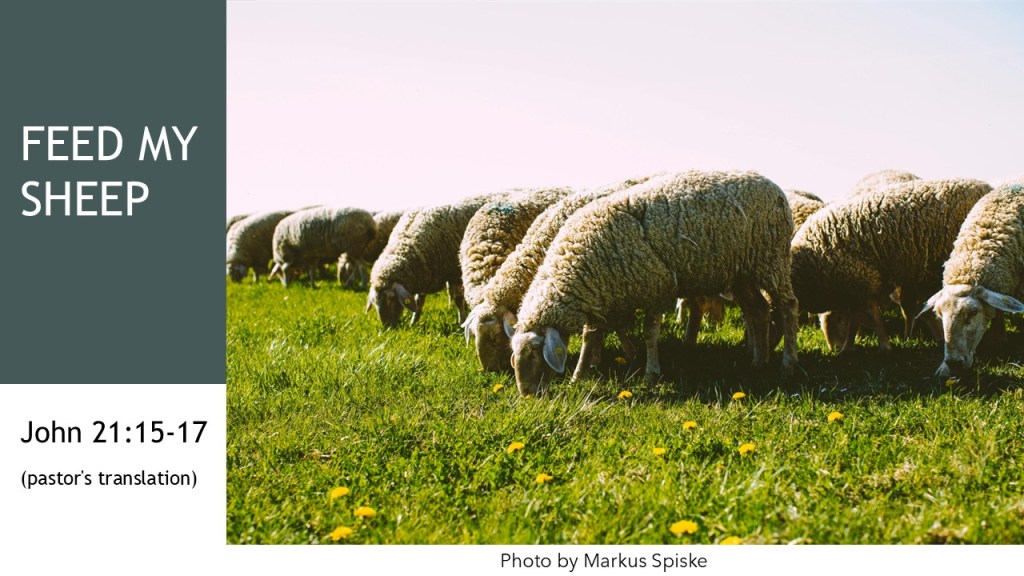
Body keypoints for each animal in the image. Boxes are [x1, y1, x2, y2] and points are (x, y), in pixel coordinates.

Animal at [367, 192, 508, 327]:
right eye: (375, 302)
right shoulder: (426, 273)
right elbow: (419, 301)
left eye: (391, 298)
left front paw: (461, 321)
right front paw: (414, 321)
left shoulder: (455, 272)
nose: (388, 327)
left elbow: (458, 299)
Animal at [508, 170, 800, 395]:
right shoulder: (601, 296)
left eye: (535, 351)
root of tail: (774, 186)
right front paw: (578, 375)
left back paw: (787, 365)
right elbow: (590, 338)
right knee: (759, 310)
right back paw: (758, 361)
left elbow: (650, 333)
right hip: (743, 271)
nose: (527, 394)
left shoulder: (657, 288)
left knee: (788, 307)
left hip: (772, 259)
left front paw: (651, 373)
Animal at [791, 178, 991, 353]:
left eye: (835, 323)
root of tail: (986, 186)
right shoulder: (862, 285)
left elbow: (870, 316)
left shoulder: (862, 281)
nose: (832, 349)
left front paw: (880, 346)